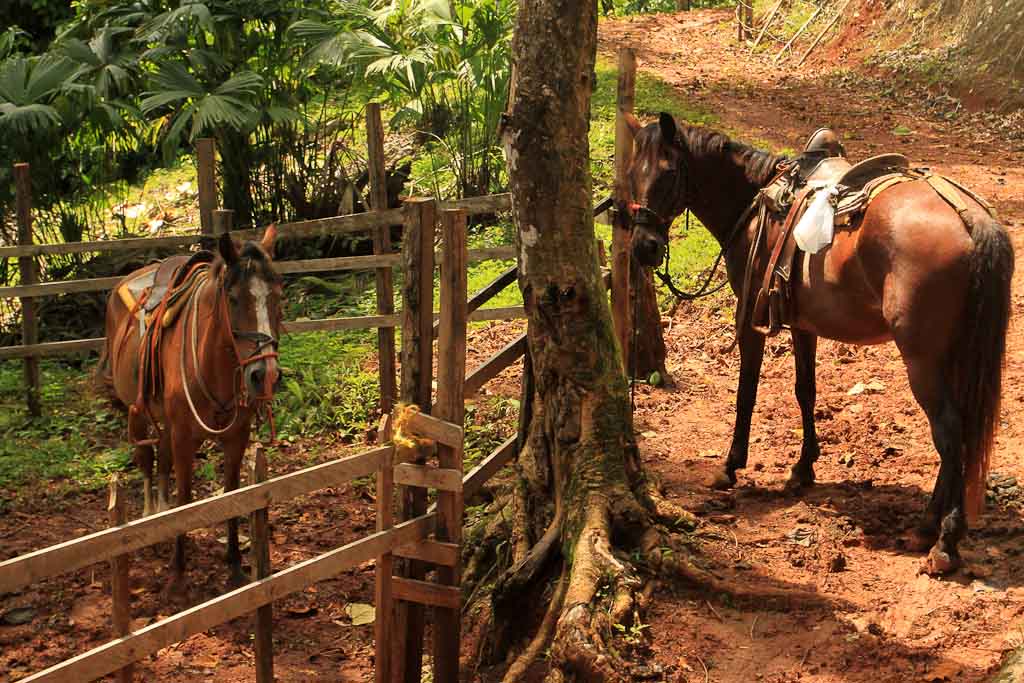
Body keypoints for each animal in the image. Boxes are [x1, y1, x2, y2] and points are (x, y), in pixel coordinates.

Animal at [101, 226, 282, 585]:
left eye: (276, 297)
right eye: (233, 298)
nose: (264, 374)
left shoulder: (235, 438)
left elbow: (232, 493)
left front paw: (234, 563)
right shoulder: (185, 437)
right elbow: (185, 498)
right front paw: (178, 570)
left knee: (162, 460)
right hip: (137, 412)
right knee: (147, 461)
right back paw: (151, 516)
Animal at [624, 112, 1013, 575]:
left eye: (668, 174)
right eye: (631, 175)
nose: (644, 248)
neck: (756, 204)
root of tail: (972, 219)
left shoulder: (748, 317)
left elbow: (746, 392)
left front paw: (730, 466)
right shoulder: (803, 325)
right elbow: (805, 391)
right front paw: (802, 469)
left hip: (923, 360)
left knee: (950, 434)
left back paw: (944, 541)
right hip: (954, 355)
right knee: (959, 433)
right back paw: (927, 528)